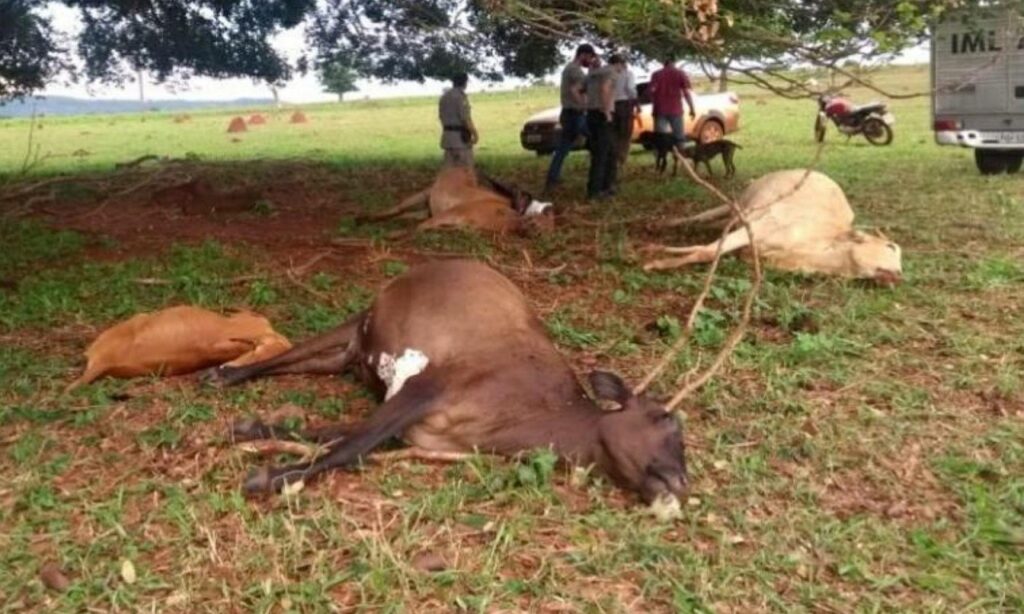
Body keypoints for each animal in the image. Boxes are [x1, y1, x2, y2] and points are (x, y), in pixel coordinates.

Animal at [207, 258, 688, 507]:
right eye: (665, 418)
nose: (680, 481)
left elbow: (335, 432)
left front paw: (251, 430)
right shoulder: (429, 385)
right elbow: (350, 446)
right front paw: (269, 476)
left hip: (351, 356)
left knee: (316, 361)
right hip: (362, 322)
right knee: (292, 352)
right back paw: (225, 374)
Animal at [358, 166, 557, 234]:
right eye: (545, 217)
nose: (537, 231)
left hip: (428, 209)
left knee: (408, 217)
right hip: (423, 195)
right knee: (399, 209)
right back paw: (366, 218)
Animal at [643, 167, 901, 282]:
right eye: (891, 247)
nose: (899, 274)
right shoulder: (763, 225)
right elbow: (707, 251)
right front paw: (658, 259)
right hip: (742, 202)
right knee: (703, 216)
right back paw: (666, 225)